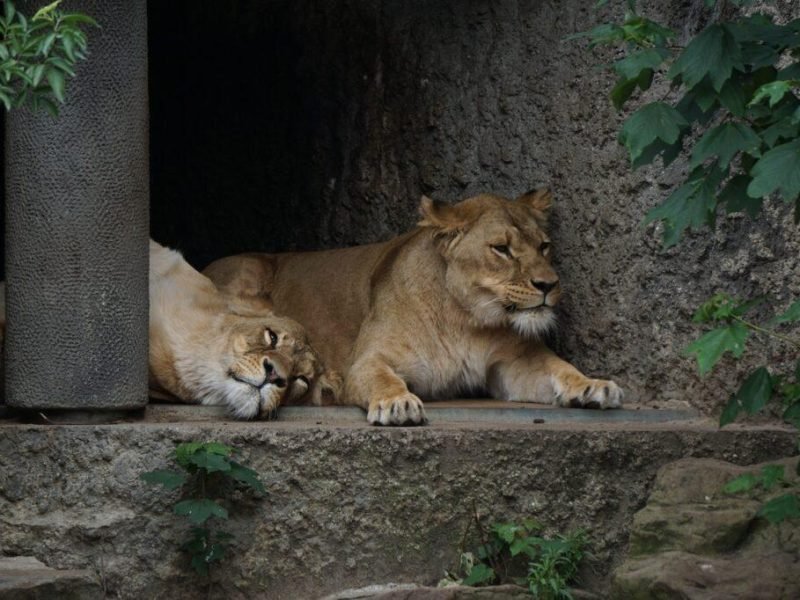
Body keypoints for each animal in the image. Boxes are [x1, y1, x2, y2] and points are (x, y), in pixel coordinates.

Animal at [203, 190, 622, 425]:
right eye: (501, 249)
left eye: (544, 246)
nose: (549, 285)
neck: (466, 319)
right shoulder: (366, 361)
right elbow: (383, 378)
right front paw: (398, 403)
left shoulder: (512, 365)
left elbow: (558, 369)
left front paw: (593, 385)